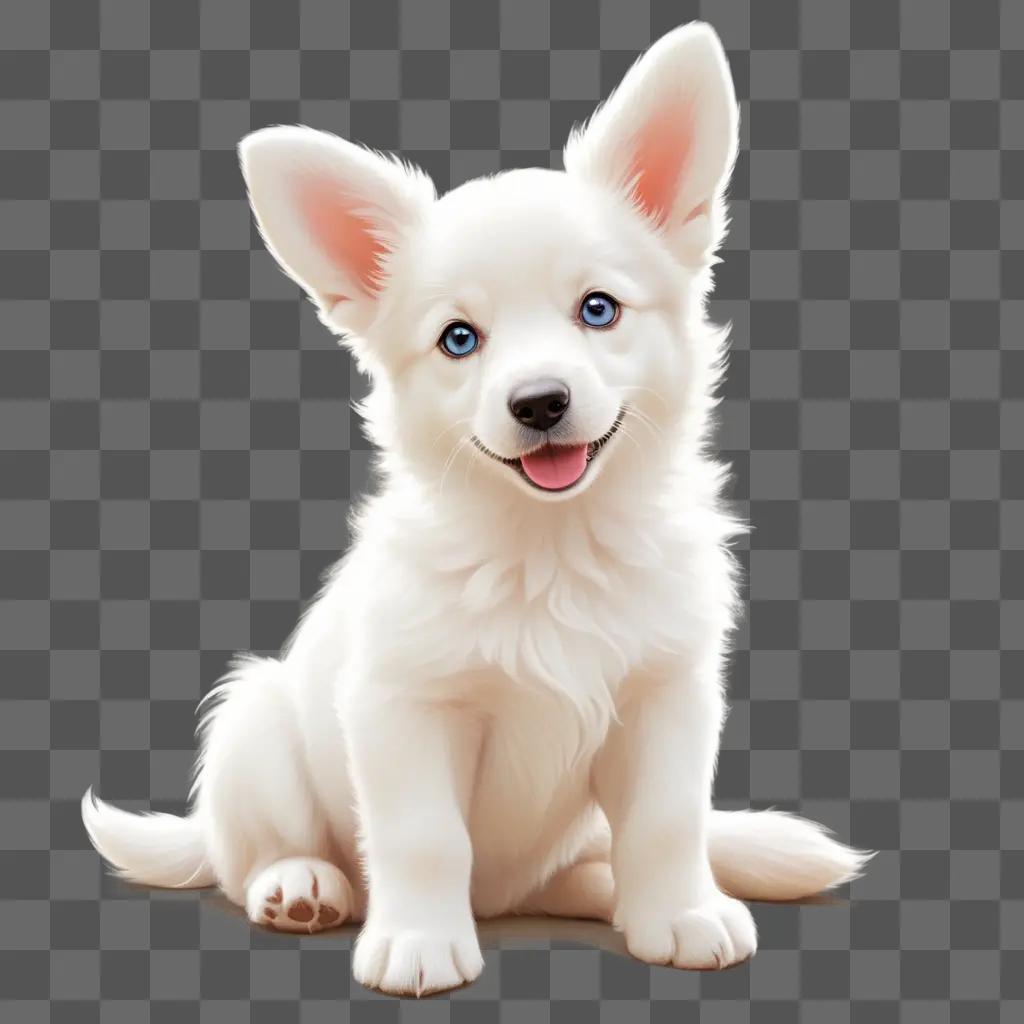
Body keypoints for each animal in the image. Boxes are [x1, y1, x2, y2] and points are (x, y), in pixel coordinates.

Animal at [81, 24, 864, 995]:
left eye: (598, 309)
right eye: (459, 339)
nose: (540, 403)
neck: (553, 547)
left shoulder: (666, 695)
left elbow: (669, 821)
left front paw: (680, 914)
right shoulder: (403, 706)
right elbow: (424, 838)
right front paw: (418, 941)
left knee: (585, 864)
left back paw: (609, 892)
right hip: (253, 724)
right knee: (250, 854)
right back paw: (301, 886)